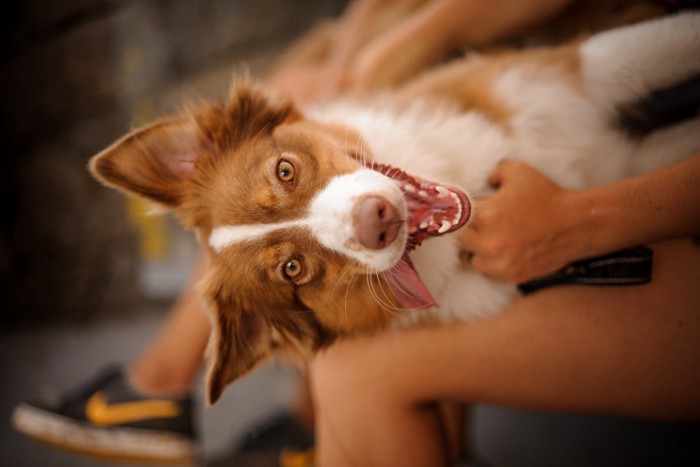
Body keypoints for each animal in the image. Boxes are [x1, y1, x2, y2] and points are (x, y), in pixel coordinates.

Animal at [90, 12, 700, 404]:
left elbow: (668, 38)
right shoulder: (621, 168)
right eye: (294, 270)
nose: (377, 220)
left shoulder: (569, 74)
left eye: (284, 170)